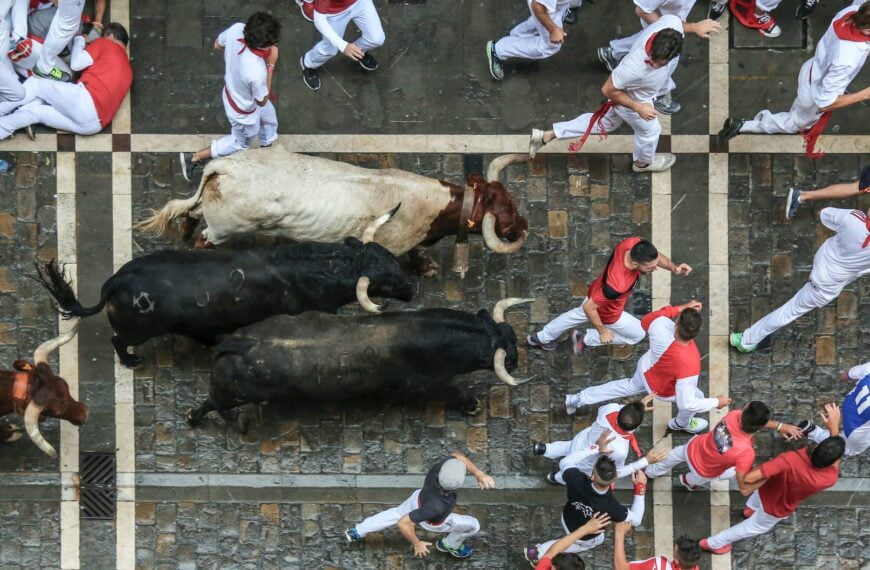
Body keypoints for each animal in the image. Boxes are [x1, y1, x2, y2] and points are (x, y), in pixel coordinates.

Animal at [35, 237, 416, 366]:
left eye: (393, 260)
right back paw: (131, 361)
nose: (412, 288)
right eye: (387, 278)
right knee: (118, 340)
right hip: (137, 330)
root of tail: (117, 281)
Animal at [190, 298, 532, 426]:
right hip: (235, 394)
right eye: (508, 353)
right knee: (212, 402)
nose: (517, 361)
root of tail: (240, 342)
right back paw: (195, 418)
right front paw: (472, 404)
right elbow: (454, 392)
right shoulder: (428, 385)